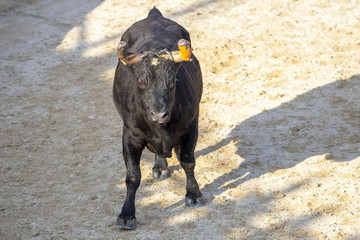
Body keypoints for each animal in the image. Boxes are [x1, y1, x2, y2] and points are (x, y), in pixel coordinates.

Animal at [111, 7, 204, 229]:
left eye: (172, 81)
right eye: (139, 81)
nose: (159, 114)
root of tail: (154, 16)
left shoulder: (191, 128)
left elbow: (188, 162)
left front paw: (193, 194)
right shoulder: (130, 136)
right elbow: (132, 176)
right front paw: (126, 214)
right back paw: (160, 167)